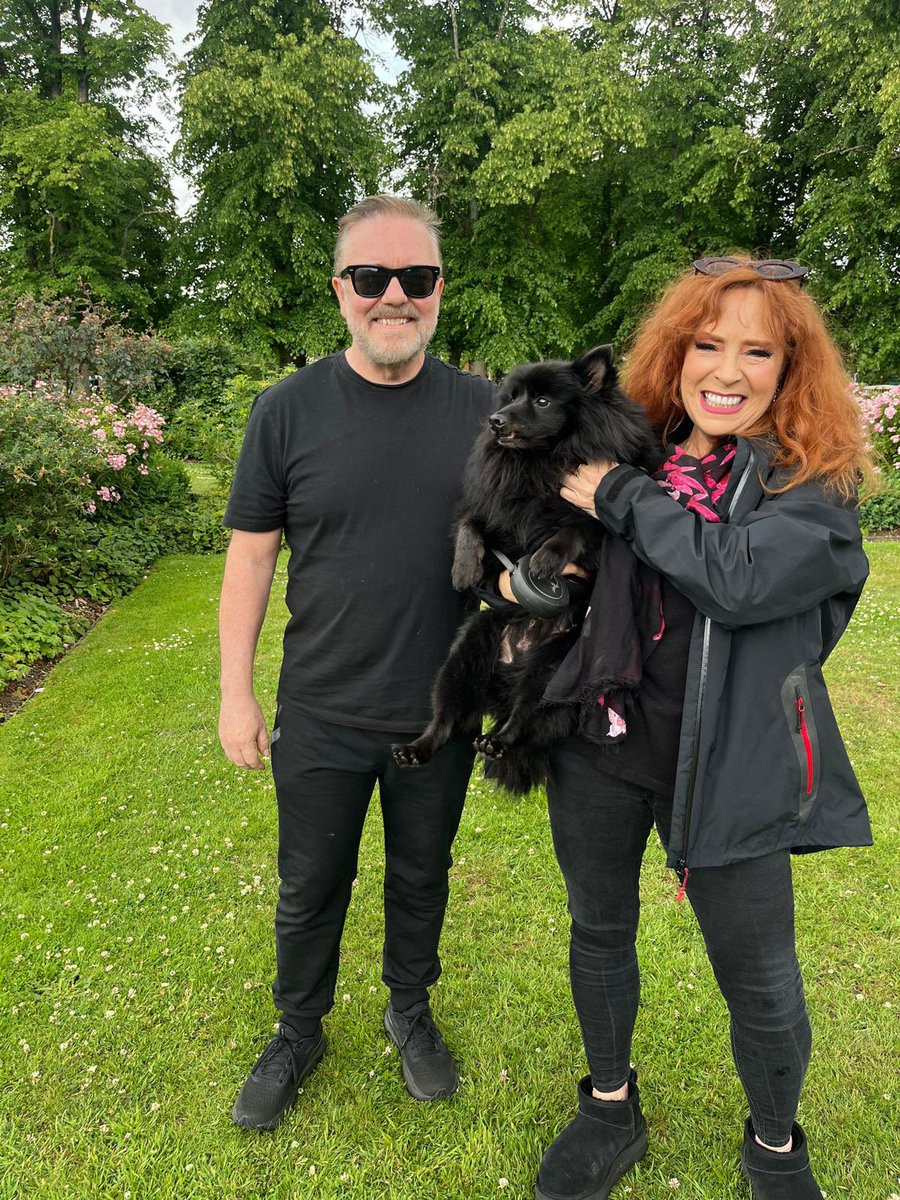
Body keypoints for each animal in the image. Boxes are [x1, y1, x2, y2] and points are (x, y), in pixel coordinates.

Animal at [391, 345, 659, 794]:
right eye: (512, 397)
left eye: (543, 401)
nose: (495, 420)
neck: (540, 462)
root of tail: (515, 657)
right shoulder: (494, 508)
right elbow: (471, 523)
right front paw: (464, 568)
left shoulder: (596, 524)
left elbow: (576, 528)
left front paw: (544, 558)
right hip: (463, 656)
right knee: (446, 719)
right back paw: (417, 748)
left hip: (552, 668)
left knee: (523, 718)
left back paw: (498, 740)